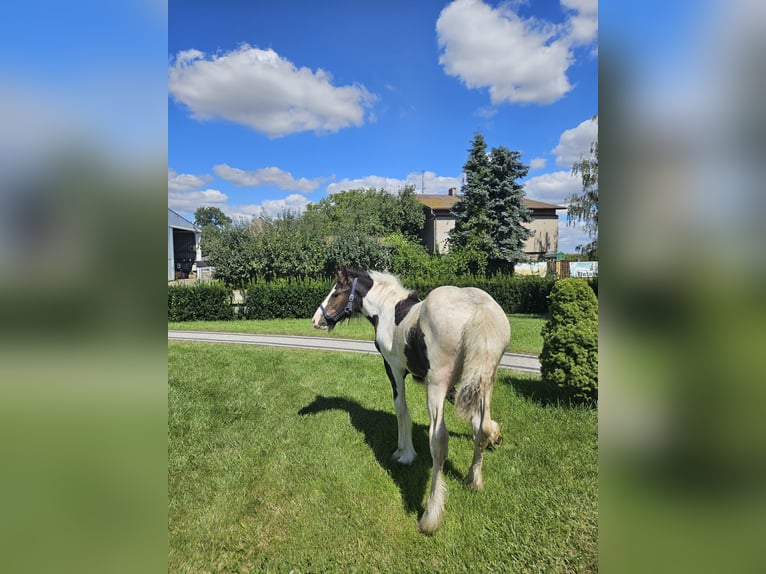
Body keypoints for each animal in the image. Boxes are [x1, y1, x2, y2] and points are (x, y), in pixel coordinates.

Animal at [312, 270, 510, 536]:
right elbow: (478, 421)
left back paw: (430, 515)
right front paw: (497, 436)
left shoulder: (394, 369)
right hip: (487, 381)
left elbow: (401, 408)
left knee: (439, 439)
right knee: (481, 427)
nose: (316, 320)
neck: (388, 309)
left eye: (336, 292)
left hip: (437, 384)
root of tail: (479, 312)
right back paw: (474, 480)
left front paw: (404, 453)